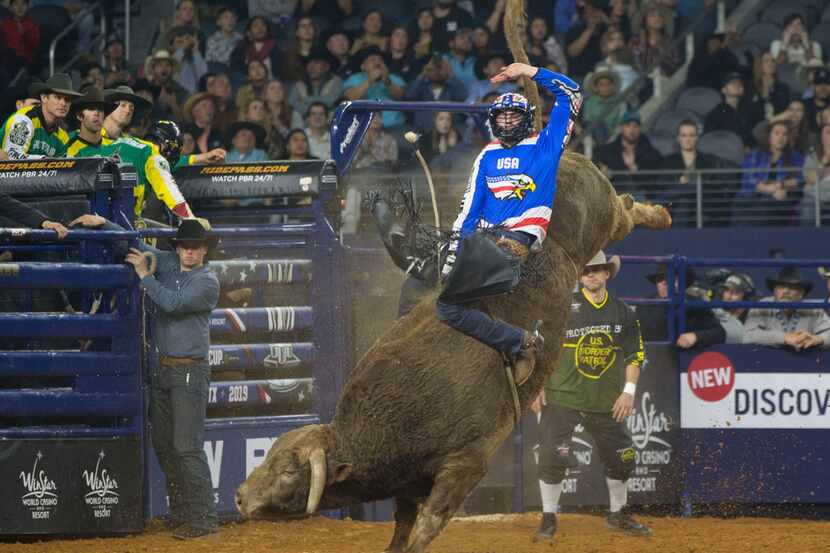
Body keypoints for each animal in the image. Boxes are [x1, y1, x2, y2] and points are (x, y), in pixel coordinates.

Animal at [232, 151, 668, 552]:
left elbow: (429, 522)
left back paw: (659, 214)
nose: (239, 496)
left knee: (625, 212)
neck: (386, 421)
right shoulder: (409, 482)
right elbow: (403, 523)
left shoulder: (466, 463)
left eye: (290, 472)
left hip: (600, 218)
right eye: (269, 457)